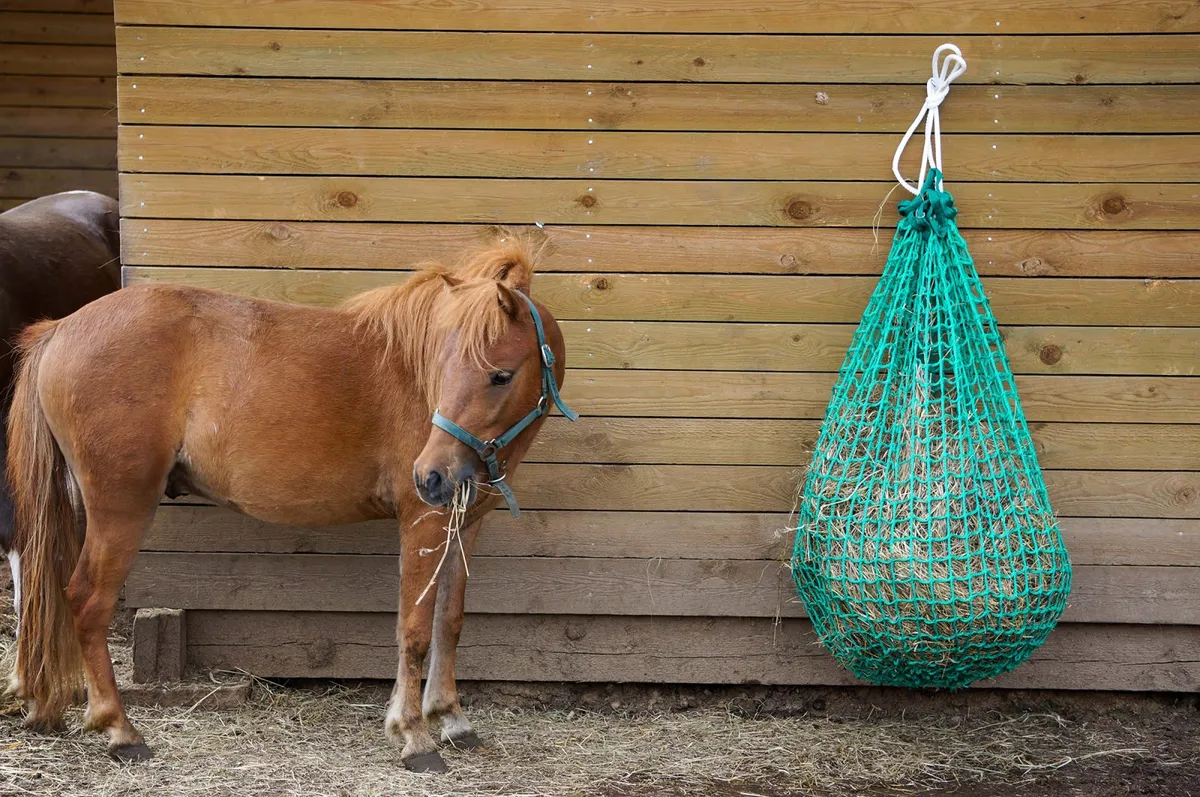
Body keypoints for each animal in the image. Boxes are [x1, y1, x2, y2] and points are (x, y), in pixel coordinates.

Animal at [8, 238, 572, 771]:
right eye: (444, 366)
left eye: (500, 375)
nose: (430, 475)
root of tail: (61, 329)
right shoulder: (424, 523)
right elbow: (413, 631)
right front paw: (413, 735)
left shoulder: (464, 525)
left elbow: (447, 622)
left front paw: (451, 718)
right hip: (119, 509)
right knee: (88, 602)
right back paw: (121, 730)